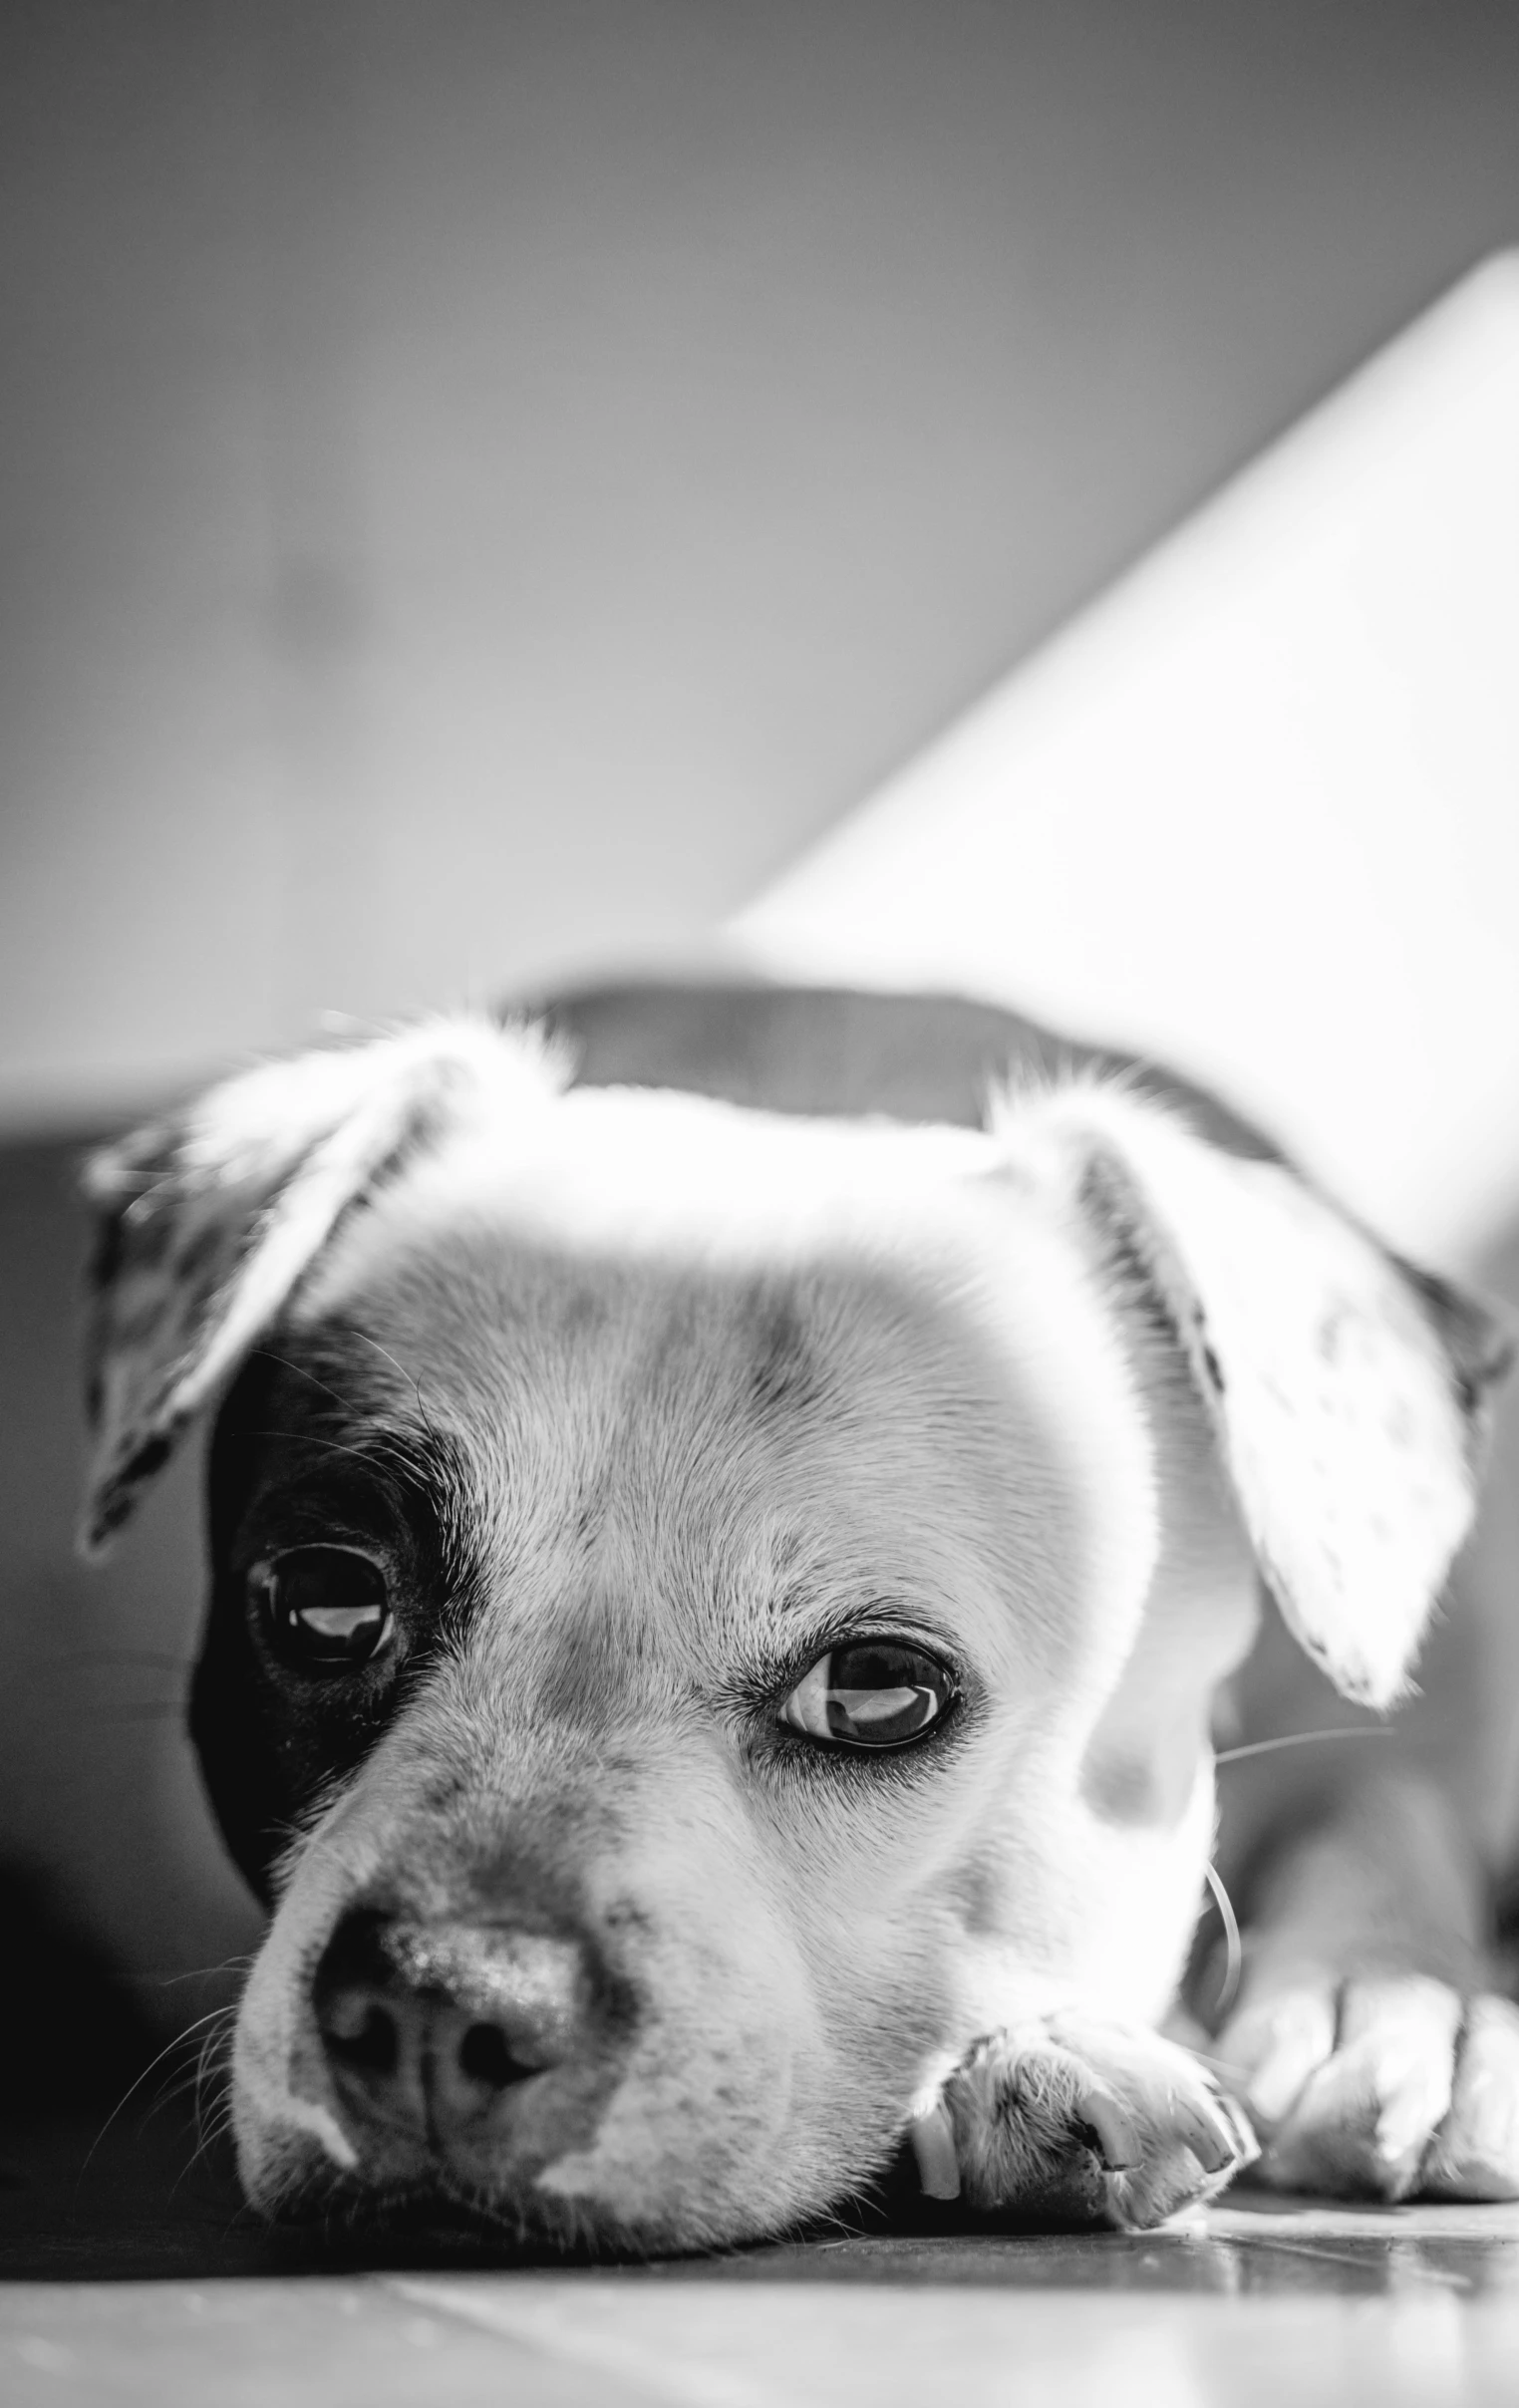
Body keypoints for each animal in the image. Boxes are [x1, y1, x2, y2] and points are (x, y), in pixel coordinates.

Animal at [77, 968, 1519, 2244]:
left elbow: (1376, 1793)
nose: (440, 2002)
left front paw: (1401, 2002)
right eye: (327, 1603)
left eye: (876, 1691)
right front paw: (1047, 2053)